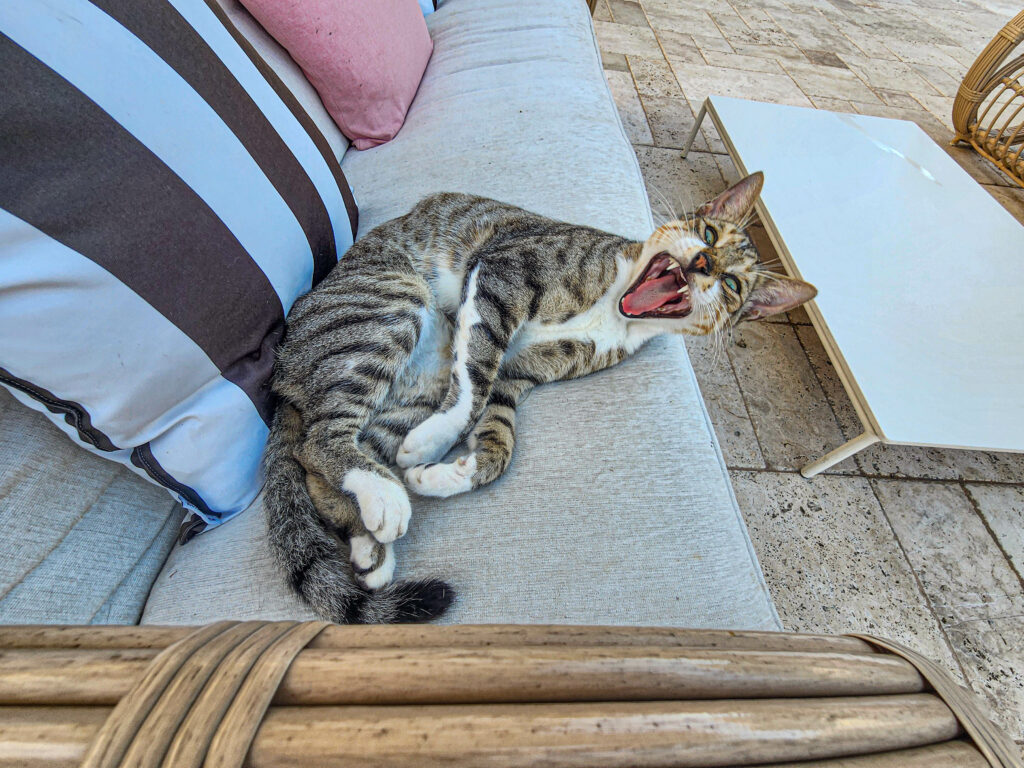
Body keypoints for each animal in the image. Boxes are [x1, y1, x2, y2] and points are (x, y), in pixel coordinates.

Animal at [262, 173, 815, 626]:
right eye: (709, 236)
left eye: (731, 283)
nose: (702, 262)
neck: (617, 307)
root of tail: (284, 369)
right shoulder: (504, 273)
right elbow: (475, 379)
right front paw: (435, 442)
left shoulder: (524, 372)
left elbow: (499, 433)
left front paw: (447, 473)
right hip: (390, 308)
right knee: (319, 439)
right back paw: (383, 496)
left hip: (417, 382)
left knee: (325, 460)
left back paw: (372, 543)